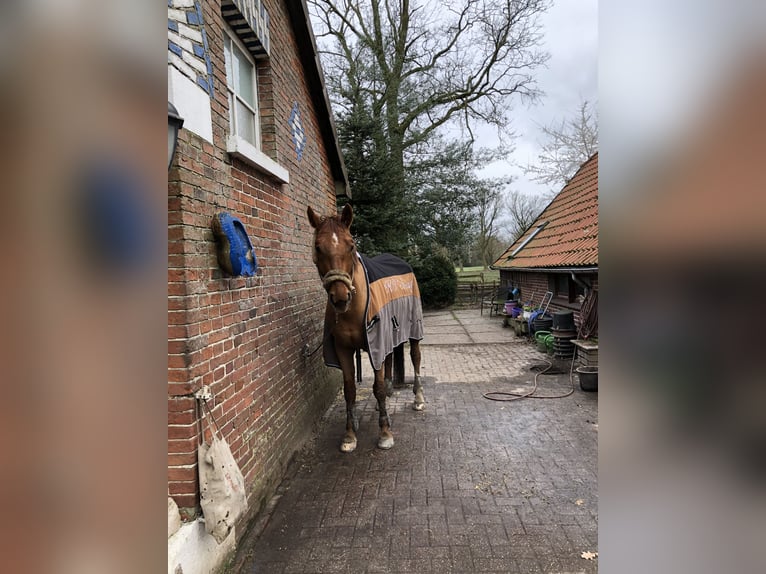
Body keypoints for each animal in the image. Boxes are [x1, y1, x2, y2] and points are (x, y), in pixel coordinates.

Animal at [306, 204, 426, 454]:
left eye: (351, 244)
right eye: (318, 247)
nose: (340, 297)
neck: (353, 309)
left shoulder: (375, 346)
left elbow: (377, 388)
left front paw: (385, 434)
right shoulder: (344, 350)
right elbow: (350, 390)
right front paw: (350, 435)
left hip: (413, 330)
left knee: (415, 356)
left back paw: (418, 399)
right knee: (389, 360)